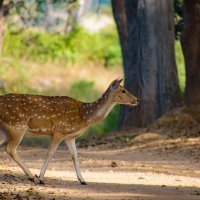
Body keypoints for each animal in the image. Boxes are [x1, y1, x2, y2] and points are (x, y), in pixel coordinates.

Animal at [0, 79, 139, 185]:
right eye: (123, 90)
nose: (137, 100)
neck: (84, 116)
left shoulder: (70, 137)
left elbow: (75, 156)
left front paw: (82, 180)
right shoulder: (59, 131)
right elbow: (50, 153)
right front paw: (41, 178)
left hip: (7, 130)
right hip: (17, 126)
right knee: (10, 148)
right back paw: (31, 177)